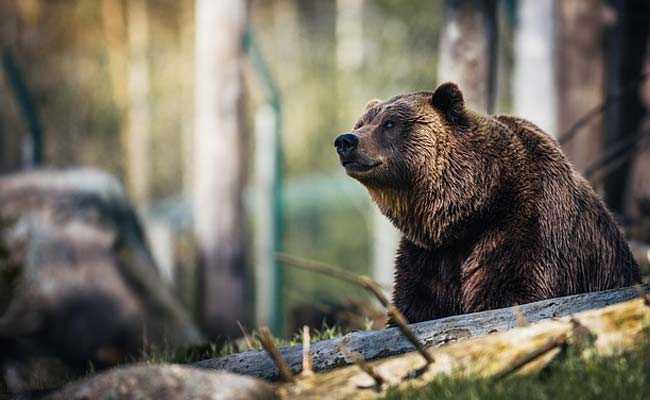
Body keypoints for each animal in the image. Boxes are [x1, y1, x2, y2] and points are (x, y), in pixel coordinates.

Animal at [334, 82, 641, 324]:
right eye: (361, 123)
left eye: (390, 123)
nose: (345, 140)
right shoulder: (429, 254)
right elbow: (417, 304)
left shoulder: (524, 225)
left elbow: (511, 291)